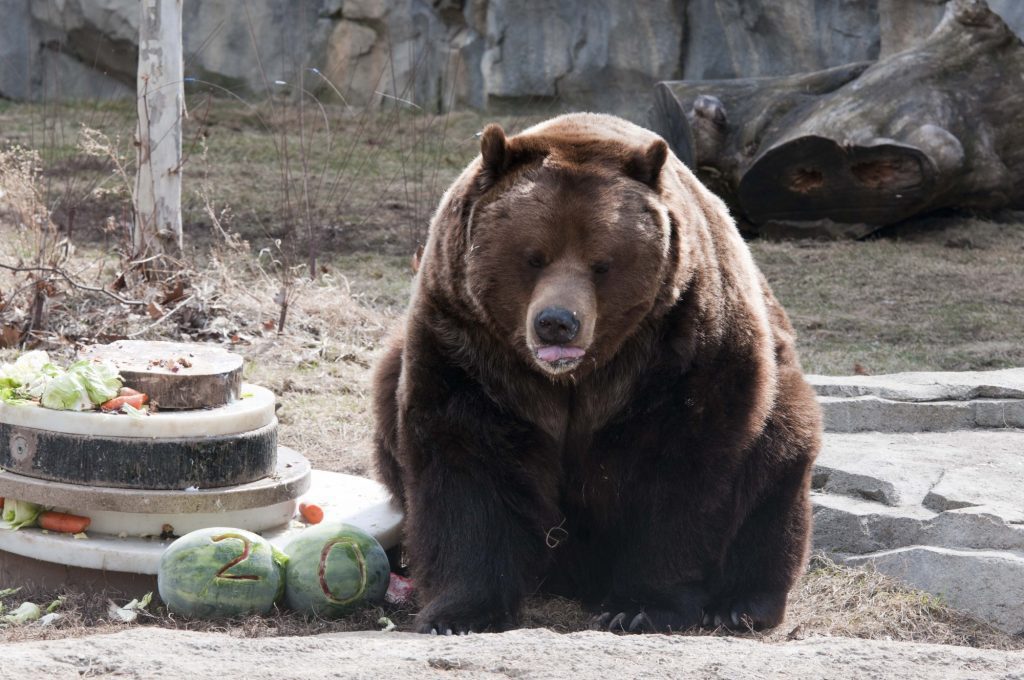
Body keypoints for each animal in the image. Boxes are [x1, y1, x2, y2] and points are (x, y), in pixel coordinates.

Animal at [372, 113, 822, 634]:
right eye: (533, 256)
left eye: (601, 263)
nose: (556, 322)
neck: (573, 378)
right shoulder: (470, 348)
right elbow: (468, 463)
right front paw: (458, 613)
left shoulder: (681, 350)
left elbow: (679, 473)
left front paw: (640, 606)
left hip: (777, 405)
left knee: (777, 469)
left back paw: (741, 603)